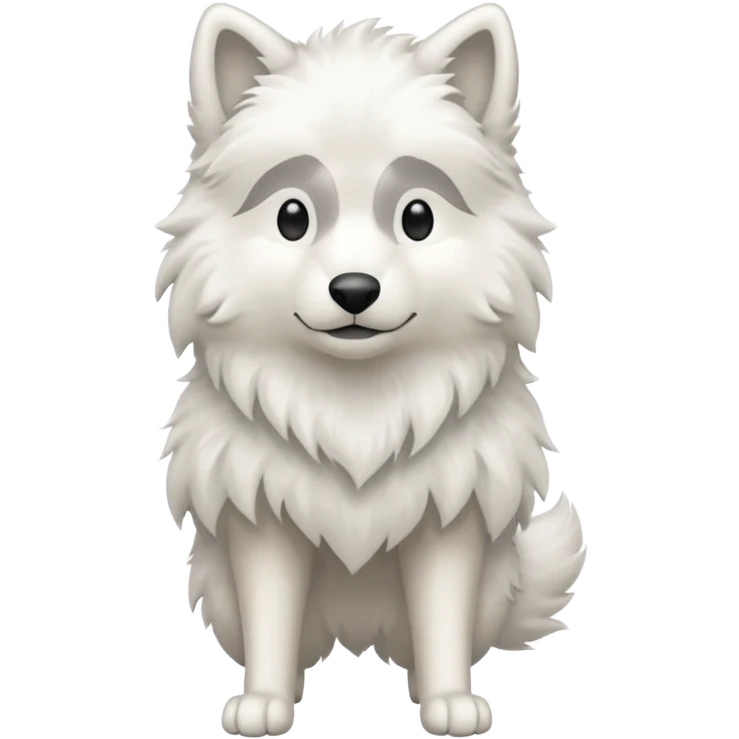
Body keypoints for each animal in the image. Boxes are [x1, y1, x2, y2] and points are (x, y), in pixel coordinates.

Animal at [156, 3, 585, 737]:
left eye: (417, 216)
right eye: (292, 216)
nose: (353, 289)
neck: (357, 413)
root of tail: (357, 633)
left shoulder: (450, 517)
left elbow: (441, 620)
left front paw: (450, 702)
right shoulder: (262, 520)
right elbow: (271, 619)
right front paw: (263, 702)